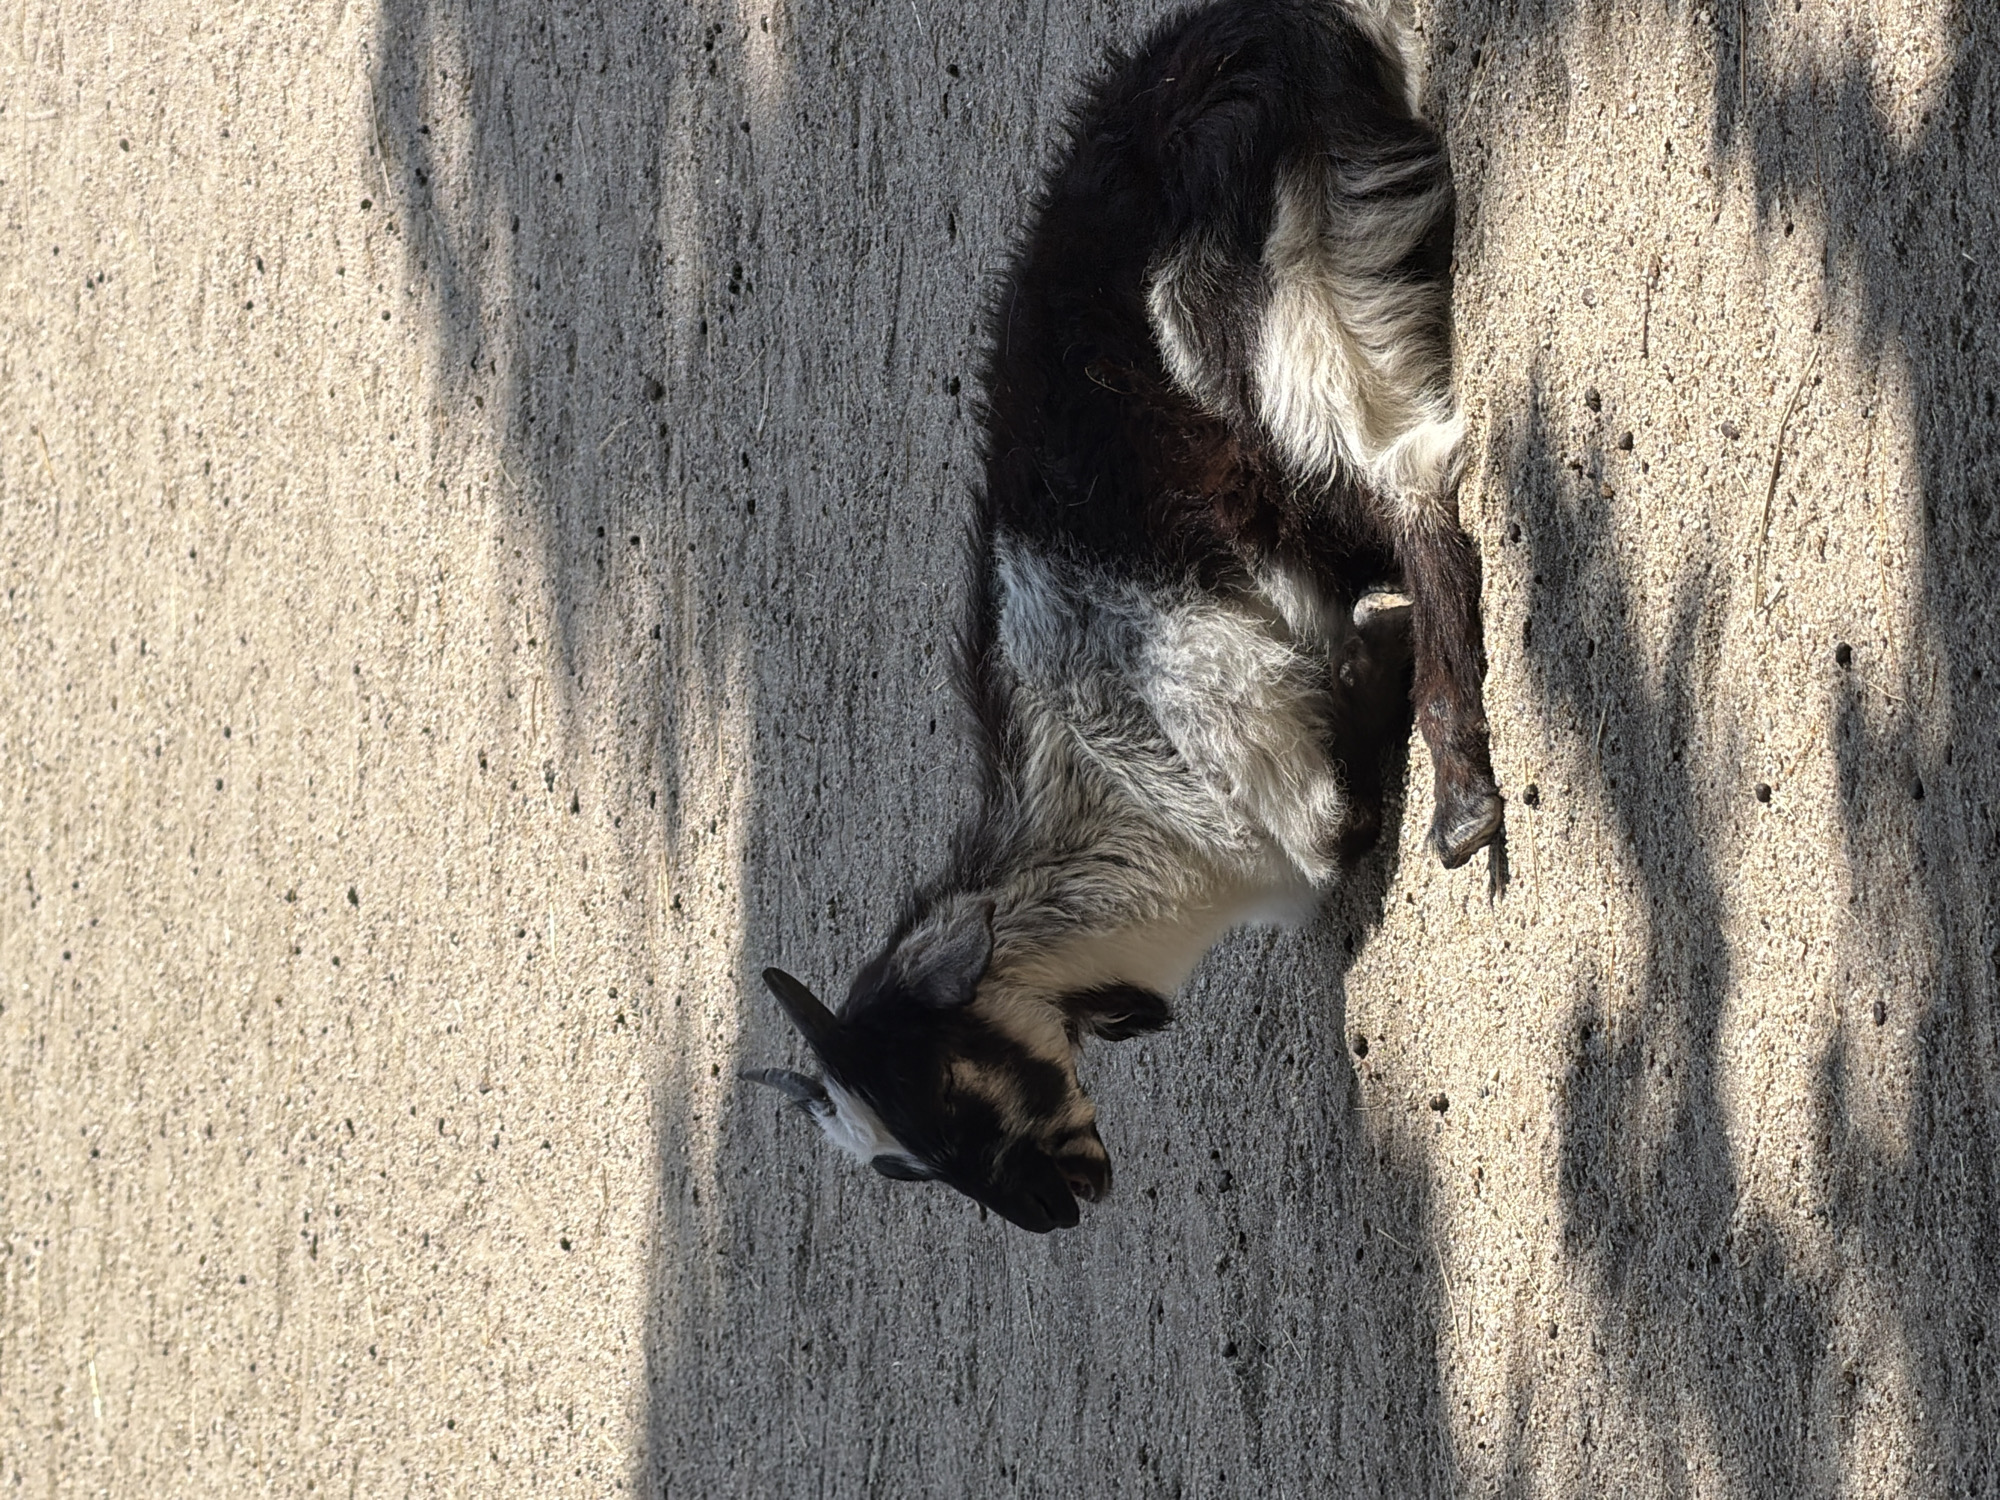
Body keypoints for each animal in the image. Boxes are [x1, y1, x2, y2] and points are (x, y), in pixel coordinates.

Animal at [743, 0, 1501, 1232]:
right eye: (905, 1169)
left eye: (942, 1099)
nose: (1051, 1213)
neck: (1113, 785)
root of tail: (1264, 33)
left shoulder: (1235, 709)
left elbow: (1339, 812)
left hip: (1270, 339)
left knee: (1413, 495)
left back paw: (1465, 806)